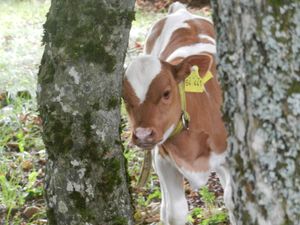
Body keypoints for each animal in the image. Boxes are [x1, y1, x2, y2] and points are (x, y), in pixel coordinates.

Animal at [122, 2, 234, 225]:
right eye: (125, 98)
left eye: (166, 93)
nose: (143, 134)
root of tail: (181, 10)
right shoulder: (163, 160)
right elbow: (175, 211)